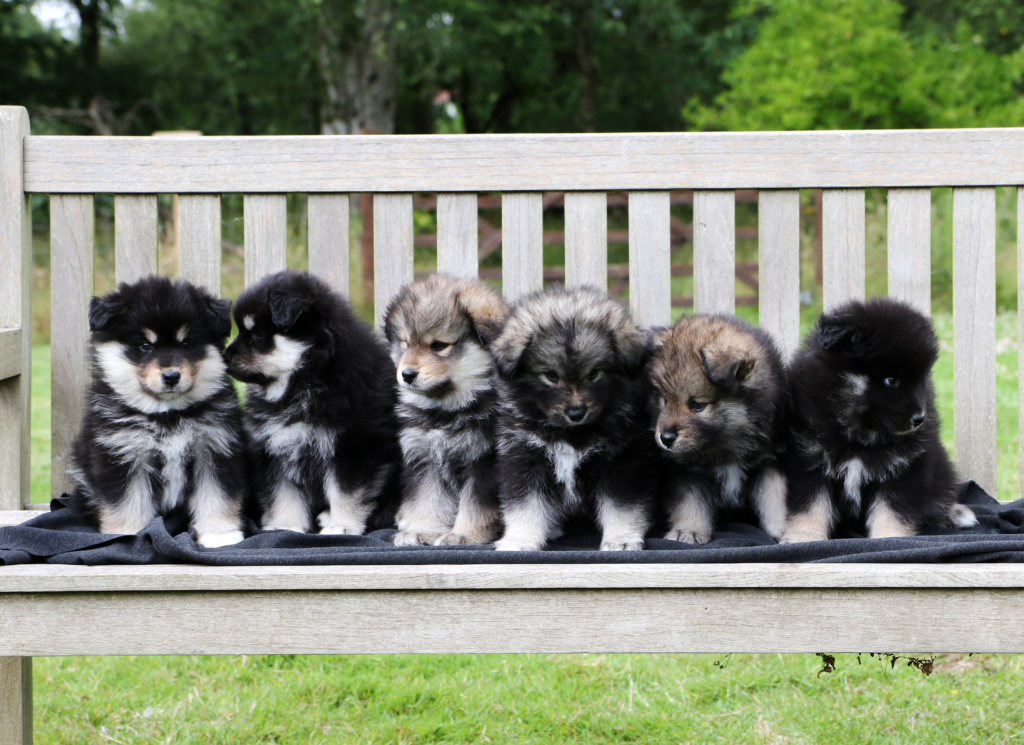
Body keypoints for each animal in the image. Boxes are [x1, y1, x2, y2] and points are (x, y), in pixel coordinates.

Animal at [227, 270, 399, 532]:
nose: (225, 355)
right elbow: (284, 493)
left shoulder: (353, 447)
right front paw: (285, 527)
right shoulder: (278, 446)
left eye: (257, 334)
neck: (306, 379)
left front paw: (342, 526)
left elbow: (345, 491)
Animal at [382, 270, 509, 544]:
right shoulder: (425, 457)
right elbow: (427, 499)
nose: (407, 374)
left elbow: (475, 506)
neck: (447, 409)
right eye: (405, 343)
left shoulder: (484, 461)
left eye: (439, 345)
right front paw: (423, 530)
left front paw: (465, 535)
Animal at [489, 288, 651, 548]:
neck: (570, 433)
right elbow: (525, 506)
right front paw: (520, 539)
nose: (576, 413)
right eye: (551, 376)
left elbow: (621, 508)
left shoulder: (620, 462)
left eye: (594, 374)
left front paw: (621, 539)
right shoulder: (525, 458)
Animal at [647, 311, 790, 544]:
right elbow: (691, 503)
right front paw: (689, 531)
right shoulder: (686, 471)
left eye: (697, 404)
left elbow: (774, 497)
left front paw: (782, 529)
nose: (666, 438)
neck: (727, 446)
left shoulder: (769, 461)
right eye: (664, 400)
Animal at [782, 294, 974, 540]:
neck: (859, 431)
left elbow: (892, 510)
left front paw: (889, 538)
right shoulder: (809, 459)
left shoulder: (904, 467)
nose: (920, 419)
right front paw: (803, 537)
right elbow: (810, 506)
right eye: (891, 380)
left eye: (922, 378)